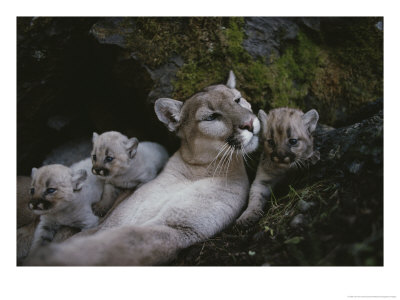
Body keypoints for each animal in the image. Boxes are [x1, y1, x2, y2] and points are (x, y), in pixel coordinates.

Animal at [26, 71, 260, 266]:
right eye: (211, 117)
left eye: (237, 100)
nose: (250, 123)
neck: (197, 170)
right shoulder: (111, 220)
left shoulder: (176, 227)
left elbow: (122, 241)